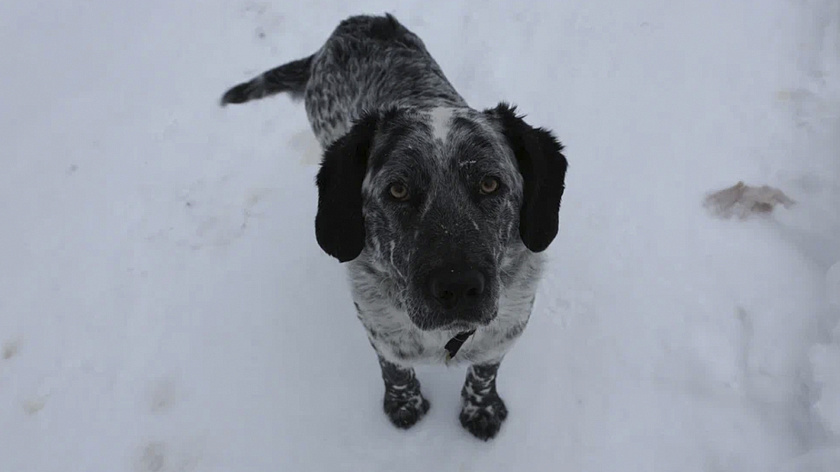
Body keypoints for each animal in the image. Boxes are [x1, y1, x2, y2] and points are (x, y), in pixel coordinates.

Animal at [220, 12, 568, 440]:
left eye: (490, 183)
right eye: (398, 189)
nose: (457, 286)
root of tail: (353, 22)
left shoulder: (507, 326)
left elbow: (485, 369)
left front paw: (481, 408)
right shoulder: (377, 326)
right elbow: (394, 368)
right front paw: (405, 405)